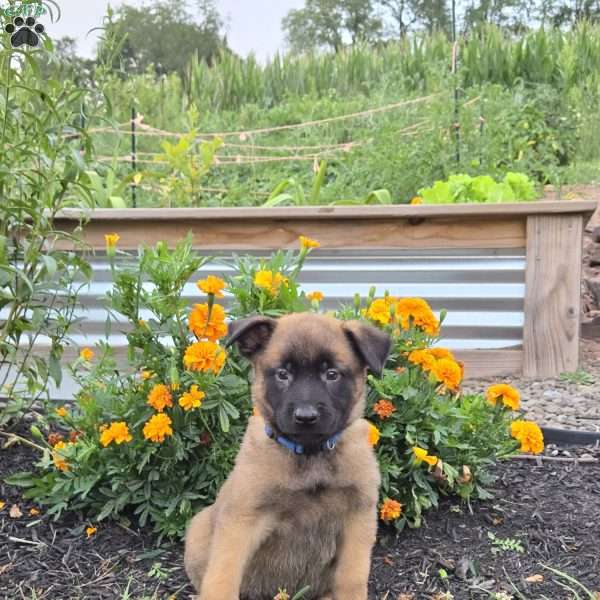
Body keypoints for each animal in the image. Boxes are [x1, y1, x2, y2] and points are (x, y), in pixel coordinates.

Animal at [185, 314, 392, 600]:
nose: (305, 416)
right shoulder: (242, 519)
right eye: (283, 374)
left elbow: (351, 578)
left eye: (332, 374)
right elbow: (223, 574)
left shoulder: (358, 517)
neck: (311, 456)